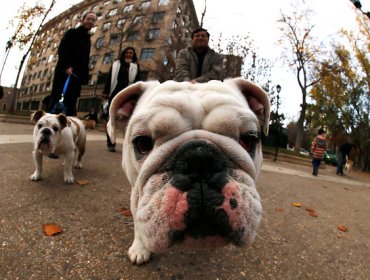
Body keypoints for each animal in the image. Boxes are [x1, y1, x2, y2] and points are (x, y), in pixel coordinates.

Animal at [108, 78, 270, 264]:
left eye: (249, 139)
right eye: (142, 142)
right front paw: (140, 248)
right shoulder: (136, 196)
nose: (199, 160)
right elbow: (137, 218)